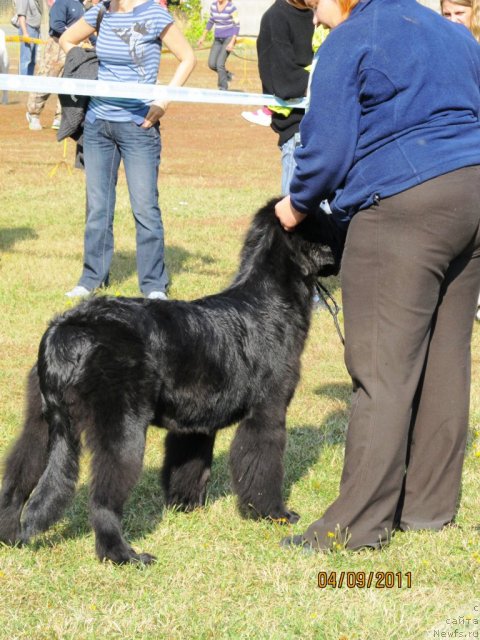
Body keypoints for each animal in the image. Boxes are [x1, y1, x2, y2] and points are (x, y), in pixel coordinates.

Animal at [0, 198, 344, 564]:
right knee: (102, 500)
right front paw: (272, 514)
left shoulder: (195, 422)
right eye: (329, 223)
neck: (270, 303)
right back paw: (123, 555)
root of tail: (66, 330)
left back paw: (10, 537)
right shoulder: (267, 414)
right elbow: (262, 466)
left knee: (15, 481)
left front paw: (185, 507)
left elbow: (188, 465)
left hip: (39, 423)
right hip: (121, 431)